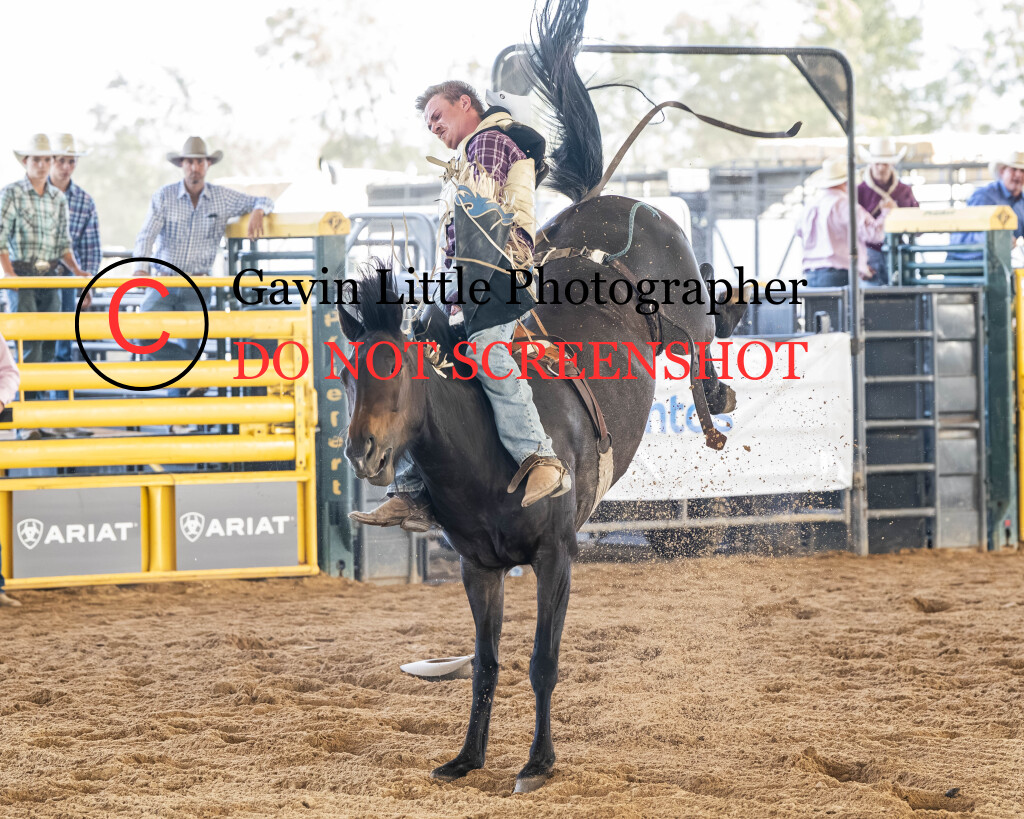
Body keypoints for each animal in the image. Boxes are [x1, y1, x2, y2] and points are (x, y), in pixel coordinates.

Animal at [339, 0, 736, 794]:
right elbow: (487, 664)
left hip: (683, 307)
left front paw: (537, 763)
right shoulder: (478, 565)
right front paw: (466, 757)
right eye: (350, 372)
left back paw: (720, 395)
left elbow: (542, 661)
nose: (361, 451)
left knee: (705, 331)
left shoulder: (558, 554)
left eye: (396, 368)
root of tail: (604, 202)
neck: (482, 456)